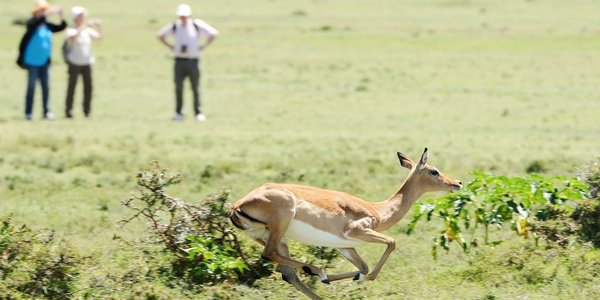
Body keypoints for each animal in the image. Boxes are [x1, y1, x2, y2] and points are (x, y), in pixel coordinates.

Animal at [231, 149, 464, 298]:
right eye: (434, 170)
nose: (458, 183)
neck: (377, 210)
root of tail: (237, 204)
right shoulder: (357, 231)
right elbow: (391, 244)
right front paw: (356, 279)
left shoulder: (345, 245)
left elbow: (363, 266)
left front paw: (353, 277)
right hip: (281, 226)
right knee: (269, 255)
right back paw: (318, 271)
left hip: (276, 238)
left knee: (289, 275)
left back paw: (317, 276)